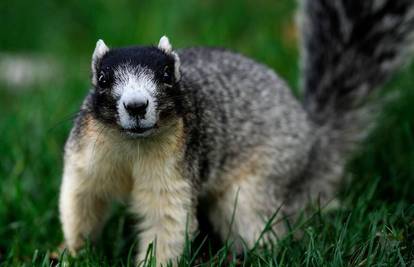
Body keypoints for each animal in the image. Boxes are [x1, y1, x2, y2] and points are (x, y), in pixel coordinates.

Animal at [58, 0, 414, 266]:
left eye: (167, 76)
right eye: (102, 79)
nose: (135, 105)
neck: (132, 145)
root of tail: (314, 143)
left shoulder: (174, 175)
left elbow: (167, 223)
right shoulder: (87, 161)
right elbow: (80, 203)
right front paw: (71, 253)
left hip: (257, 185)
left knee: (262, 225)